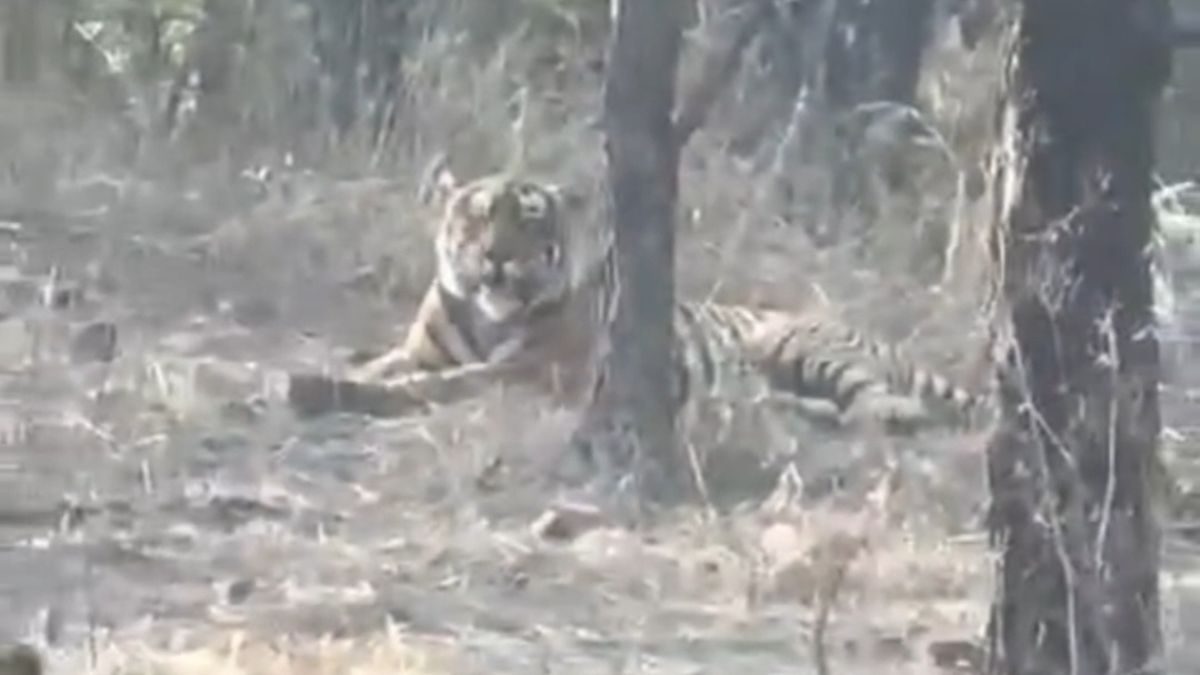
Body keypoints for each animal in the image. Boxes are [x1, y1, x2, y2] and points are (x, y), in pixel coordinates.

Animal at [286, 164, 988, 434]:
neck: (488, 319)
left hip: (802, 344)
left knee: (885, 404)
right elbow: (390, 365)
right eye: (479, 216)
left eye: (530, 220)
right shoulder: (421, 351)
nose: (496, 257)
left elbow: (429, 388)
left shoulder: (532, 373)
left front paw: (327, 391)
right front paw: (328, 374)